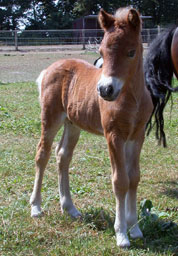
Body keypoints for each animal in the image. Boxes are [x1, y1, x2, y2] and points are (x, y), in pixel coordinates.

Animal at [29, 7, 152, 248]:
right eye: (101, 52)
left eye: (131, 52)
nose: (105, 90)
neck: (132, 98)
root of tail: (48, 69)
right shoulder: (114, 135)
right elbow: (120, 181)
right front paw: (121, 234)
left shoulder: (137, 135)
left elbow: (134, 178)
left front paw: (135, 229)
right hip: (50, 118)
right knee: (42, 155)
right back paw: (36, 207)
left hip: (72, 124)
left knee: (62, 156)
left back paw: (70, 208)